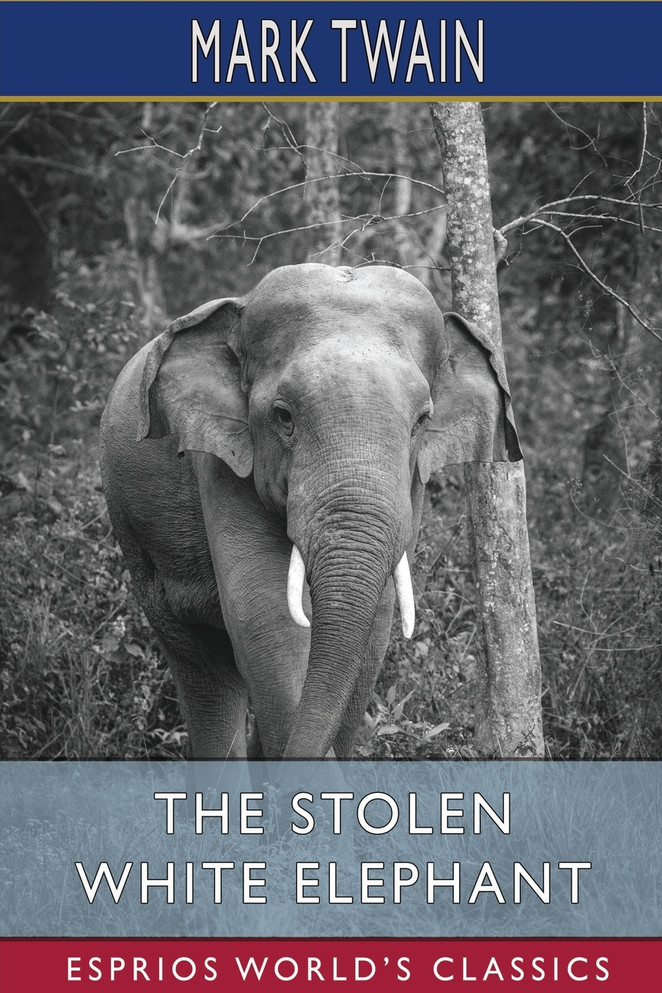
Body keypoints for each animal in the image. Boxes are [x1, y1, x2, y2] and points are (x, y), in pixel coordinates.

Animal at [99, 263, 520, 760]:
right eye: (283, 417)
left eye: (421, 421)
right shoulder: (221, 462)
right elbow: (267, 616)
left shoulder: (412, 486)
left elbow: (375, 625)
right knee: (204, 667)